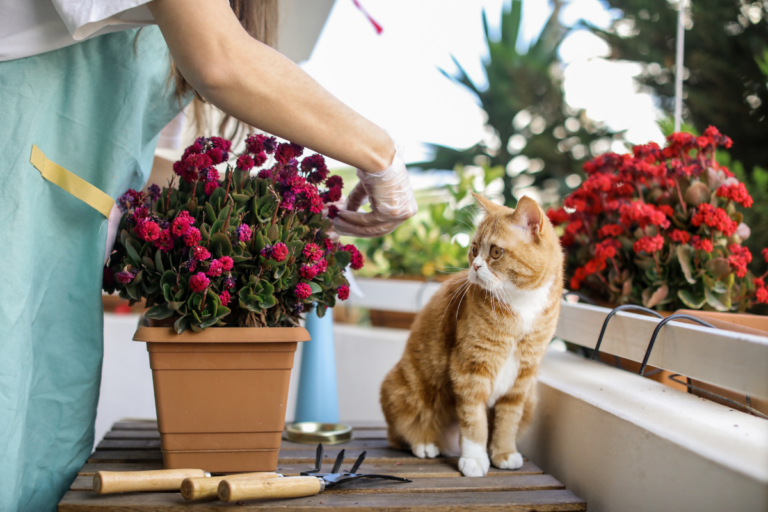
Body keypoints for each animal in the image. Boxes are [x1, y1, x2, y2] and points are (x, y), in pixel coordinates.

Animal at [380, 194, 564, 478]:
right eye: (475, 249)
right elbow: (474, 420)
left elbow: (508, 420)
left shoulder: (523, 378)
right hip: (404, 389)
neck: (520, 304)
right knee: (400, 432)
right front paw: (476, 458)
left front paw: (504, 452)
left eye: (496, 252)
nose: (476, 266)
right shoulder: (470, 368)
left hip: (532, 401)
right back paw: (425, 443)